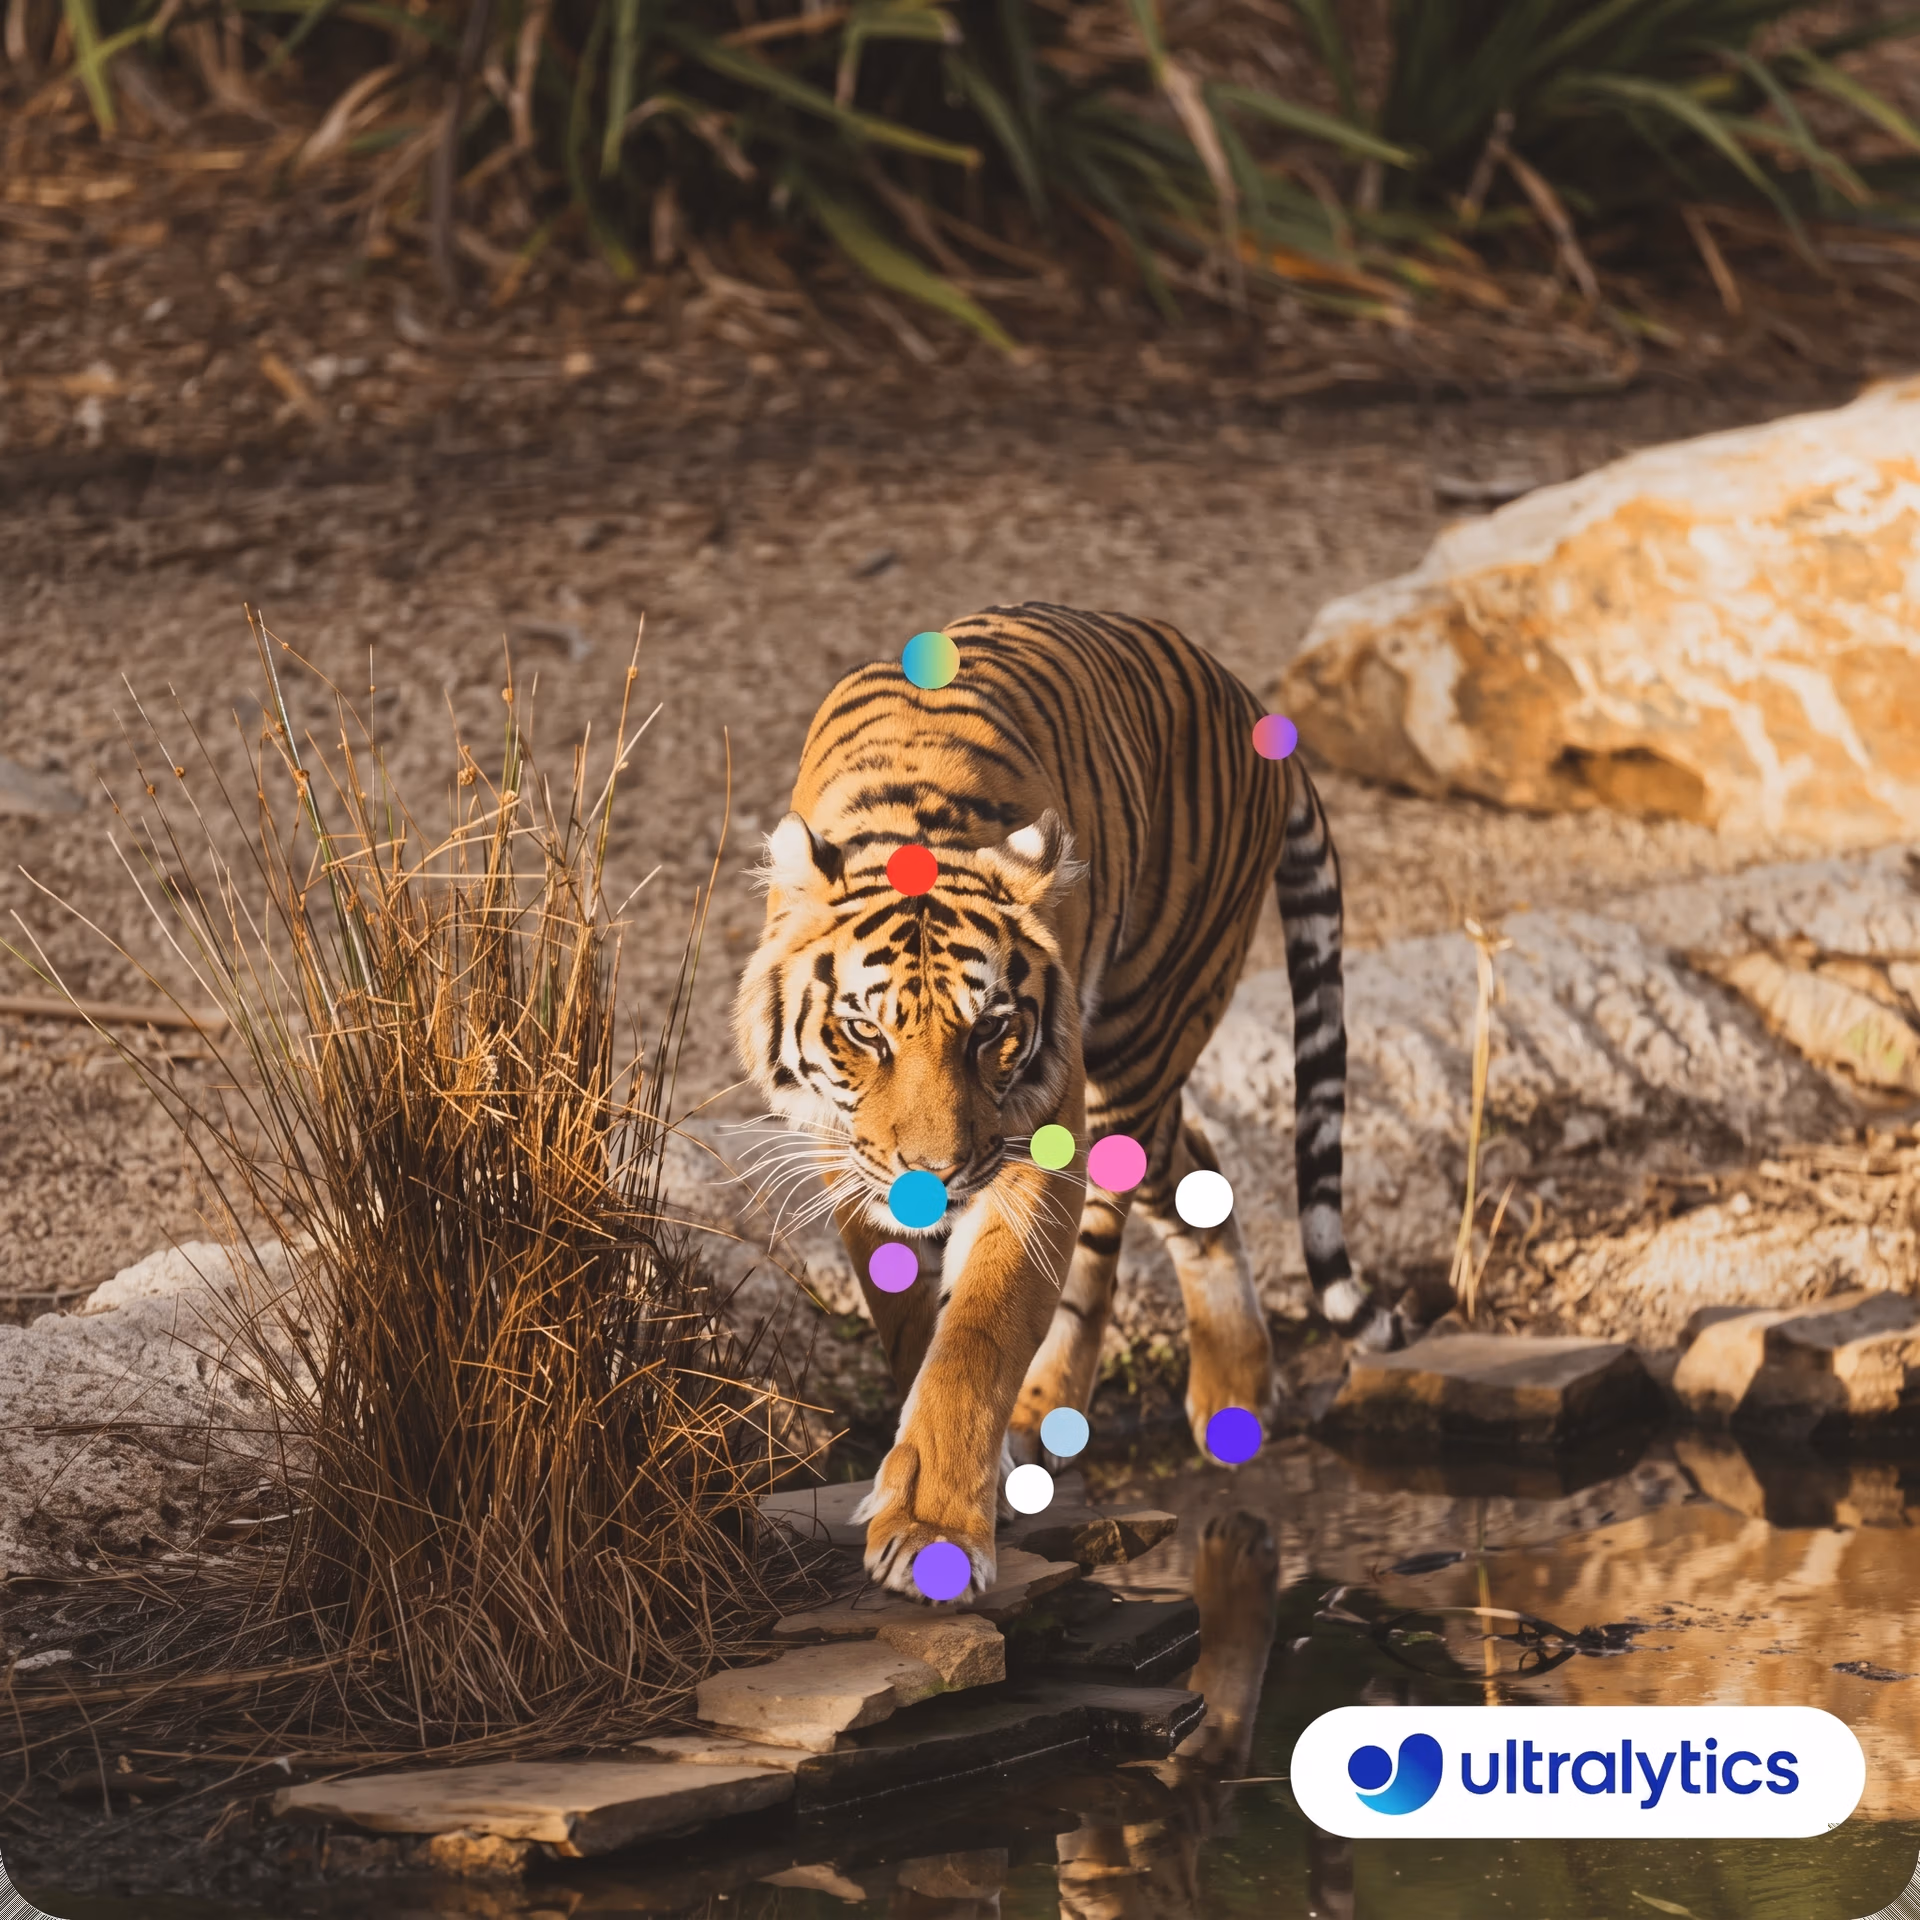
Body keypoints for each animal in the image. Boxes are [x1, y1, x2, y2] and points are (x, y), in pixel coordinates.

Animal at [733, 603, 1403, 1603]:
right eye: (866, 1034)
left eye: (989, 1032)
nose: (934, 1178)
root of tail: (1248, 701)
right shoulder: (844, 1155)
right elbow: (911, 1321)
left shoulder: (1031, 1140)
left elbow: (978, 1333)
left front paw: (933, 1530)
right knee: (1197, 1169)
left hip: (1137, 1040)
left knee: (1141, 1204)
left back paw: (1142, 1403)